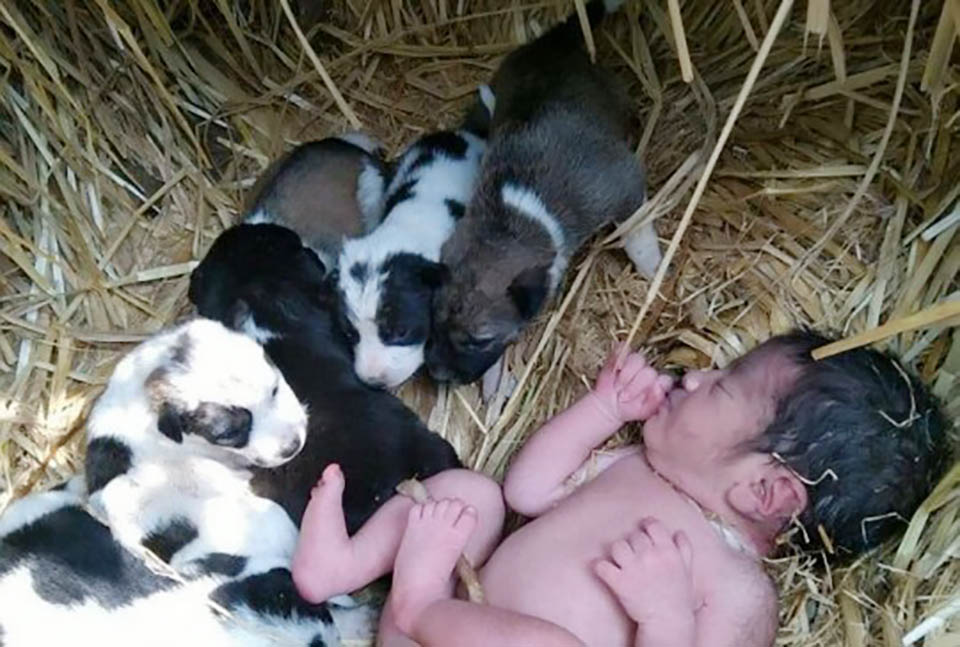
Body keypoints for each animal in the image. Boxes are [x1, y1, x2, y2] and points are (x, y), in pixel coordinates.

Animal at [428, 0, 660, 384]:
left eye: (480, 339)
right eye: (434, 320)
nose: (437, 375)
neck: (522, 211)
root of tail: (552, 43)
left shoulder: (624, 183)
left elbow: (637, 230)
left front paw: (652, 264)